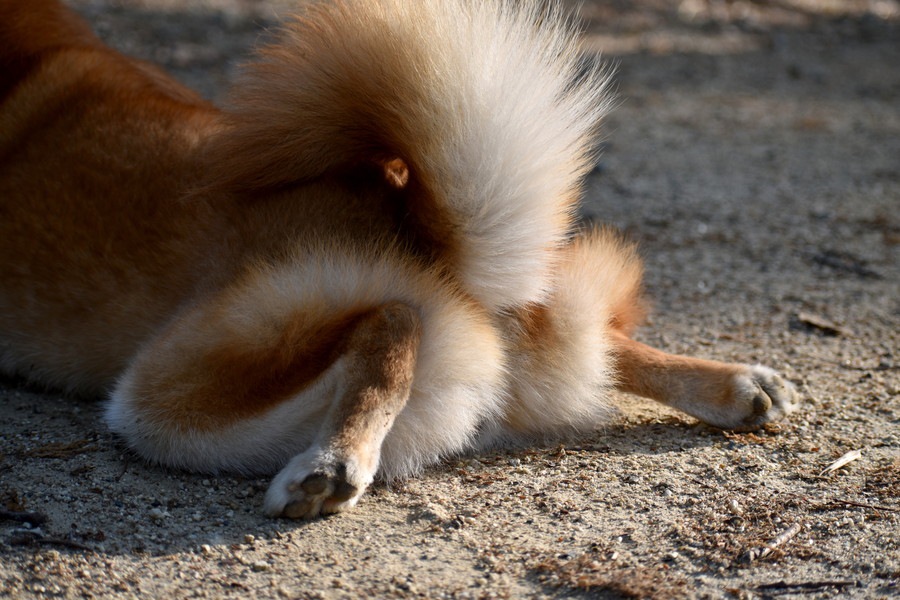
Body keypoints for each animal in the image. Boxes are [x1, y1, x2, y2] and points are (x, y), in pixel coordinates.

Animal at [1, 0, 800, 516]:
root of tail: (442, 247)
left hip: (163, 396)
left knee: (391, 320)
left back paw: (331, 464)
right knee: (597, 339)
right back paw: (737, 385)